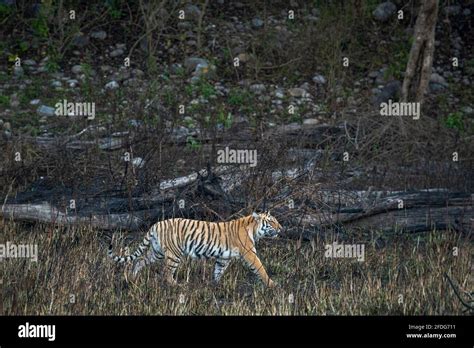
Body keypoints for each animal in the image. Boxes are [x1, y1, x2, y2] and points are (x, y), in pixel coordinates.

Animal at [107, 211, 282, 286]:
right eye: (271, 221)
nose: (281, 228)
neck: (253, 228)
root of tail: (156, 224)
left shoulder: (224, 257)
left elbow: (218, 270)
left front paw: (214, 284)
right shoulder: (249, 253)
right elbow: (260, 268)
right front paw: (272, 284)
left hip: (156, 252)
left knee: (140, 260)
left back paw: (132, 278)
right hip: (174, 254)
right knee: (166, 272)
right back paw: (176, 285)